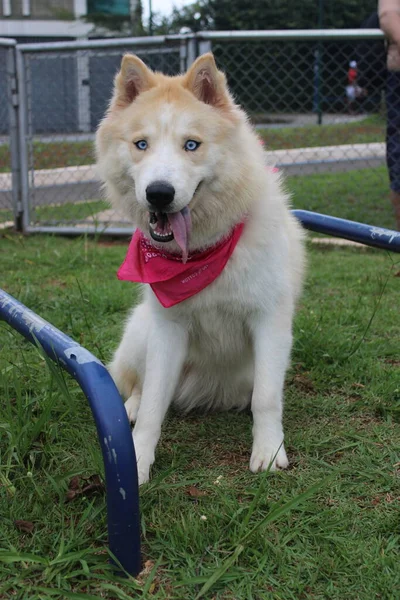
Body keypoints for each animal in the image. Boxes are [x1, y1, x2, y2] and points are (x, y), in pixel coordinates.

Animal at [95, 51, 304, 482]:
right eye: (141, 145)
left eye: (191, 145)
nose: (159, 193)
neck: (204, 253)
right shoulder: (168, 330)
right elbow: (154, 404)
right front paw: (137, 459)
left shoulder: (270, 322)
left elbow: (266, 397)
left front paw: (268, 451)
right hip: (143, 330)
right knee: (139, 387)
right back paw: (129, 409)